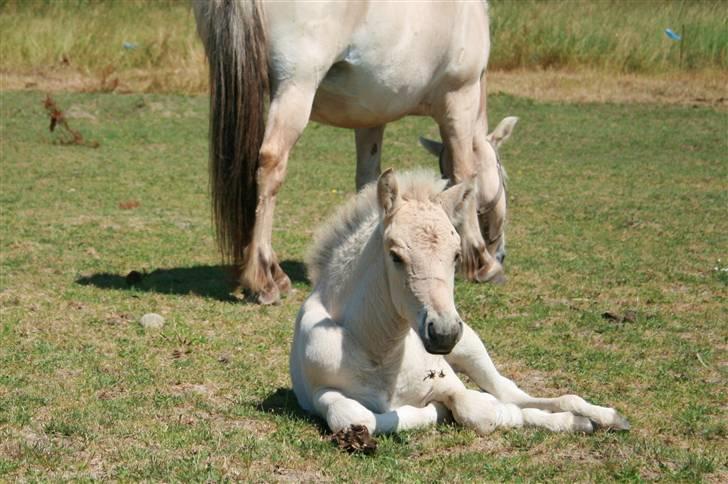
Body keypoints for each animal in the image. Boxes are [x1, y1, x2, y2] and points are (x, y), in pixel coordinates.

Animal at [192, 0, 512, 304]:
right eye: (504, 176)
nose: (500, 253)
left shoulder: (371, 118)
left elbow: (369, 181)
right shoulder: (460, 101)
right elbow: (465, 176)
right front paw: (481, 261)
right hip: (295, 89)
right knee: (271, 166)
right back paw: (263, 281)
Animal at [288, 170, 628, 434]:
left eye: (455, 255)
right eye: (395, 255)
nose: (444, 333)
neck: (383, 352)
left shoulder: (450, 382)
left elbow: (478, 409)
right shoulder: (321, 393)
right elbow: (357, 418)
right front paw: (433, 412)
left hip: (470, 348)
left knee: (509, 391)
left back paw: (601, 417)